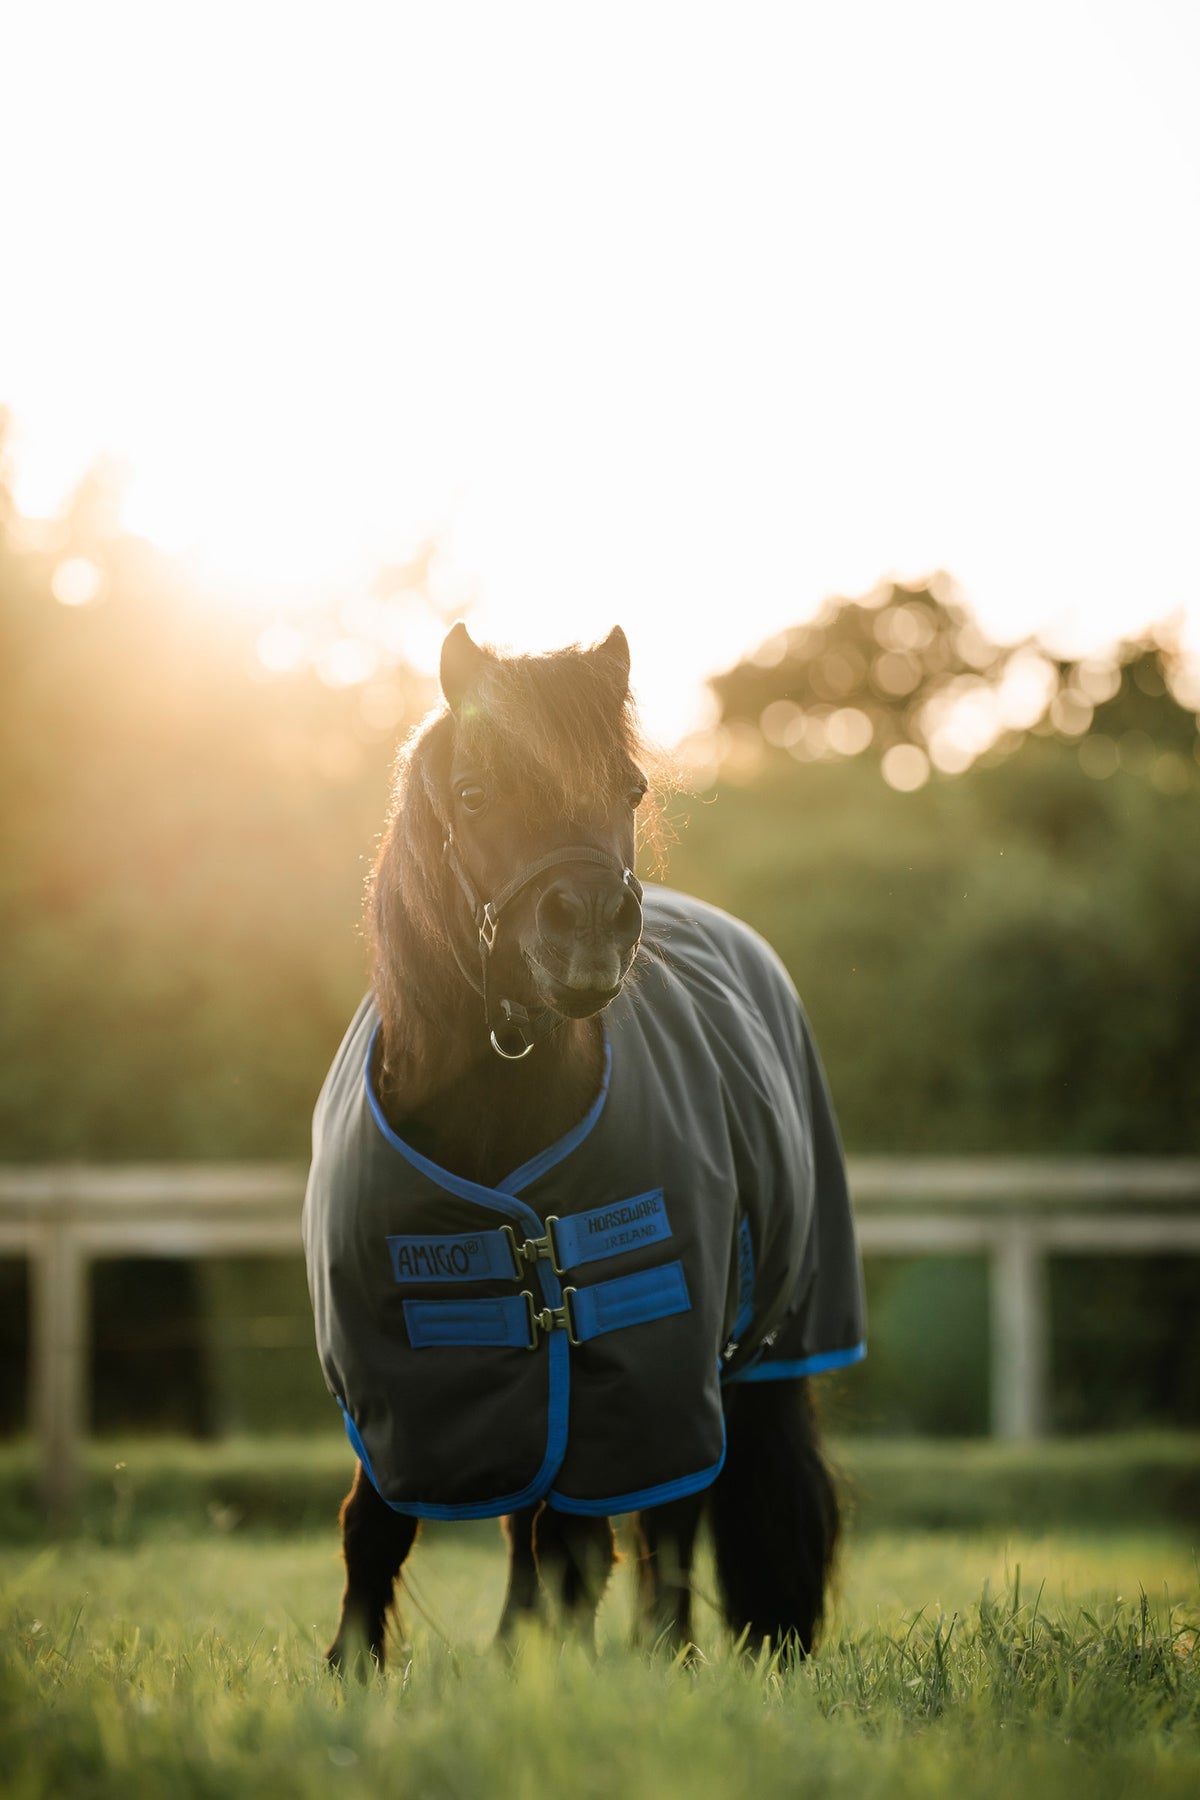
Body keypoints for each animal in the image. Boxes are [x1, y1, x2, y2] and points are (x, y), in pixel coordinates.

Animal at [302, 622, 866, 1677]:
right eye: (474, 793)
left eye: (632, 790)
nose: (594, 926)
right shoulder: (396, 1373)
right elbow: (380, 1527)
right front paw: (355, 1672)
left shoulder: (641, 1366)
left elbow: (581, 1540)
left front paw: (548, 1674)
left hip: (723, 1358)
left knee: (672, 1522)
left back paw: (671, 1654)